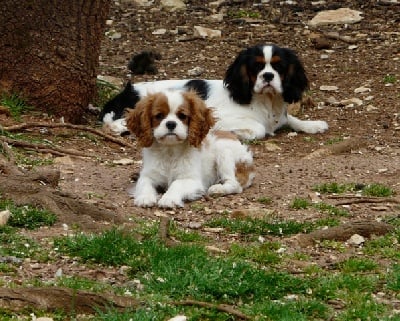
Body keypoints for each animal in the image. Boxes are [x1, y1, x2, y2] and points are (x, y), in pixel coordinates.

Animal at [101, 44, 328, 139]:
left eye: (279, 67)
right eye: (256, 67)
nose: (268, 76)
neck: (267, 101)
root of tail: (126, 92)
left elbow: (290, 119)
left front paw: (312, 125)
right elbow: (259, 128)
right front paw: (238, 133)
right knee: (117, 123)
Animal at [126, 89, 255, 208]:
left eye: (182, 116)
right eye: (159, 116)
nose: (171, 123)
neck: (170, 150)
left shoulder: (192, 180)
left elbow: (176, 184)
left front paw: (168, 199)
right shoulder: (148, 175)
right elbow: (144, 184)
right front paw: (145, 197)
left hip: (224, 153)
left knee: (235, 184)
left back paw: (218, 189)